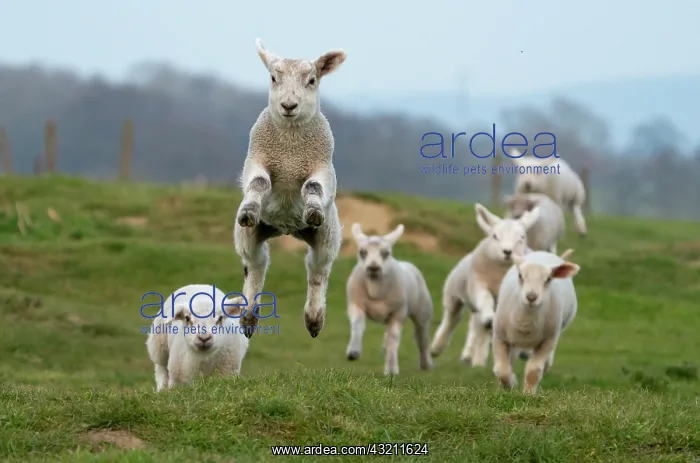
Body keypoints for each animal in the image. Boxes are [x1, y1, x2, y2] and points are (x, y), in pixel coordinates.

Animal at [233, 39, 346, 339]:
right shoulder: (257, 159)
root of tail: (285, 228)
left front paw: (313, 208)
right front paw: (249, 207)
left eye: (312, 80)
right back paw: (249, 317)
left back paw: (314, 318)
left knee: (318, 269)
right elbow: (258, 183)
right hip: (250, 234)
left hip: (327, 234)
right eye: (273, 78)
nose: (288, 105)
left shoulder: (322, 166)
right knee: (256, 264)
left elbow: (314, 186)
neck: (290, 146)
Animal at [345, 223, 433, 375]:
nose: (373, 267)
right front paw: (353, 351)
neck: (375, 290)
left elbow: (393, 338)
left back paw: (426, 363)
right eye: (362, 252)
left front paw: (391, 369)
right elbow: (357, 325)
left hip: (423, 312)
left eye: (386, 253)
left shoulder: (398, 312)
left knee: (422, 338)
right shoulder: (356, 305)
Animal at [429, 203, 540, 367]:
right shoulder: (478, 285)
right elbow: (485, 299)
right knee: (452, 319)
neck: (500, 274)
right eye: (495, 236)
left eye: (521, 238)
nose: (507, 252)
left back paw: (478, 360)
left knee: (480, 330)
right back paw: (437, 348)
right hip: (453, 295)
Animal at [491, 249, 580, 394]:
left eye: (548, 279)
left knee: (545, 363)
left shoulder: (547, 340)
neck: (526, 322)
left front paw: (528, 394)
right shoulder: (499, 337)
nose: (531, 297)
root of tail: (545, 253)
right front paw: (510, 385)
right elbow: (502, 370)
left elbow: (533, 371)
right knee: (510, 361)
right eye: (520, 276)